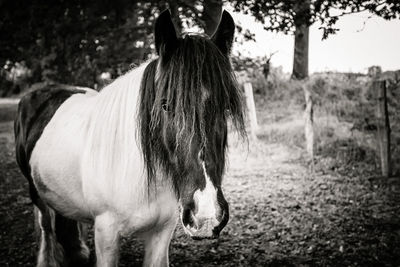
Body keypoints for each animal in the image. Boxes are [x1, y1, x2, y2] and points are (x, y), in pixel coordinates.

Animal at [14, 9, 245, 266]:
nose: (206, 216)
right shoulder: (106, 233)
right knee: (46, 225)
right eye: (165, 105)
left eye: (225, 107)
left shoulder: (162, 232)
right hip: (36, 192)